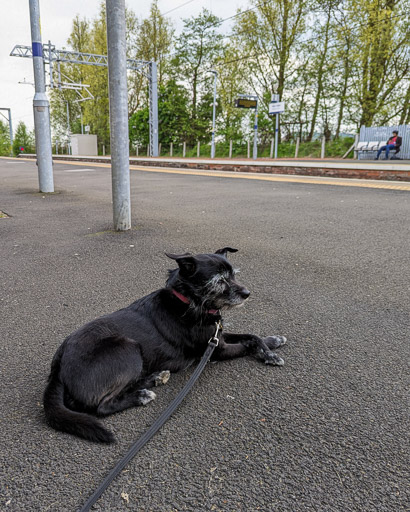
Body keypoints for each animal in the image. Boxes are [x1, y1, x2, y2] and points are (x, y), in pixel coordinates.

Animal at [42, 247, 286, 440]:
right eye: (219, 281)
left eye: (233, 275)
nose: (247, 293)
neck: (189, 301)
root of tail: (58, 366)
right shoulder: (217, 350)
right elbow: (248, 344)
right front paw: (270, 354)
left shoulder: (218, 337)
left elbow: (251, 335)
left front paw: (274, 341)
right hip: (128, 348)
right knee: (101, 407)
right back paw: (141, 396)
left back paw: (156, 378)